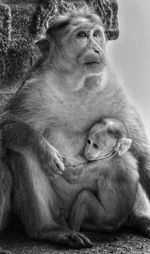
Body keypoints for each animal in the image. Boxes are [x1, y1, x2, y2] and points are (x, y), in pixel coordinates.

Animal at [0, 11, 150, 248]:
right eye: (81, 35)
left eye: (96, 34)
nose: (96, 49)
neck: (77, 85)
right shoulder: (32, 90)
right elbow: (7, 125)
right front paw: (43, 150)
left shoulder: (112, 87)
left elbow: (142, 153)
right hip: (61, 209)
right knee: (22, 153)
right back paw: (49, 230)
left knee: (132, 153)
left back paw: (140, 220)